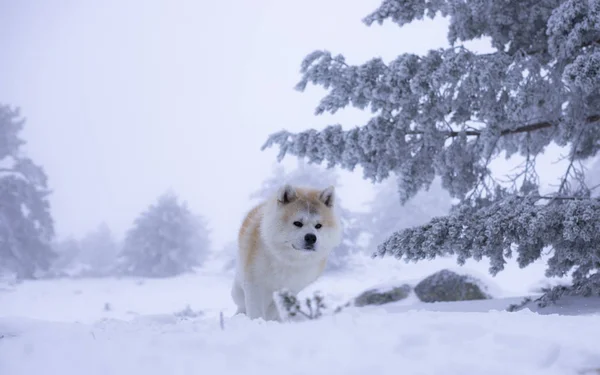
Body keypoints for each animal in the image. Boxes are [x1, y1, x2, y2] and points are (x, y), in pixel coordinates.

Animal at [231, 184, 342, 322]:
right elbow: (256, 311)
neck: (288, 260)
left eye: (318, 225)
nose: (311, 237)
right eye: (297, 223)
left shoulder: (291, 288)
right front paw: (258, 322)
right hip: (238, 290)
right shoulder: (254, 284)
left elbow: (273, 307)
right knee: (242, 305)